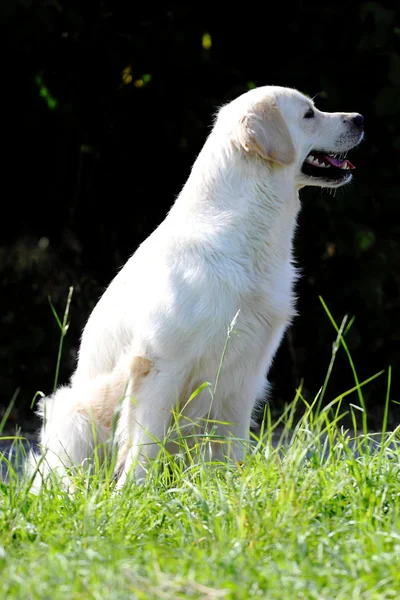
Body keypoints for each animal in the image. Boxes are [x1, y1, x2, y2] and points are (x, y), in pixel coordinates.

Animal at [28, 84, 364, 488]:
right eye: (309, 114)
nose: (360, 118)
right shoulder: (162, 362)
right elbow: (145, 444)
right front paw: (133, 494)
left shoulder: (246, 372)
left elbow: (231, 444)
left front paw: (230, 488)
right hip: (74, 412)